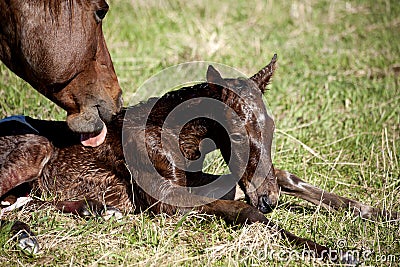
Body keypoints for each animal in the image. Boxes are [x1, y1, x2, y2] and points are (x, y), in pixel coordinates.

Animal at [0, 55, 396, 264]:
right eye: (237, 135)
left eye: (271, 127)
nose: (268, 200)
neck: (175, 136)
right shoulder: (166, 203)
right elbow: (242, 210)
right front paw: (336, 251)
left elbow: (288, 177)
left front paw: (380, 214)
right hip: (36, 149)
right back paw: (29, 238)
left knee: (23, 204)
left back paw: (91, 211)